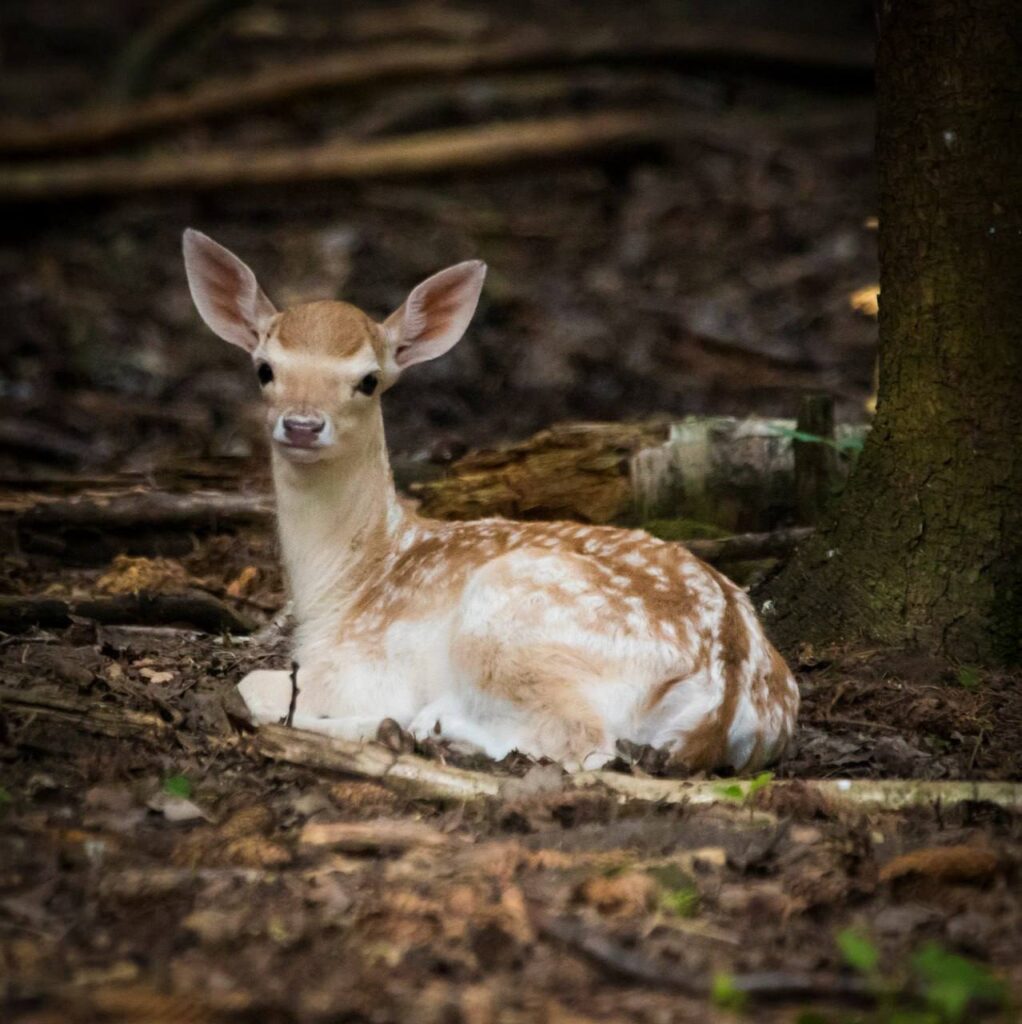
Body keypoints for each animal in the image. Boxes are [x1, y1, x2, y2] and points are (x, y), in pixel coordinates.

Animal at [182, 228, 798, 772]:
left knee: (585, 745)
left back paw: (421, 729)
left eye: (368, 380)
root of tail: (724, 696)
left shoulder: (363, 665)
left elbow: (251, 685)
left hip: (506, 618)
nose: (303, 425)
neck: (345, 586)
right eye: (265, 369)